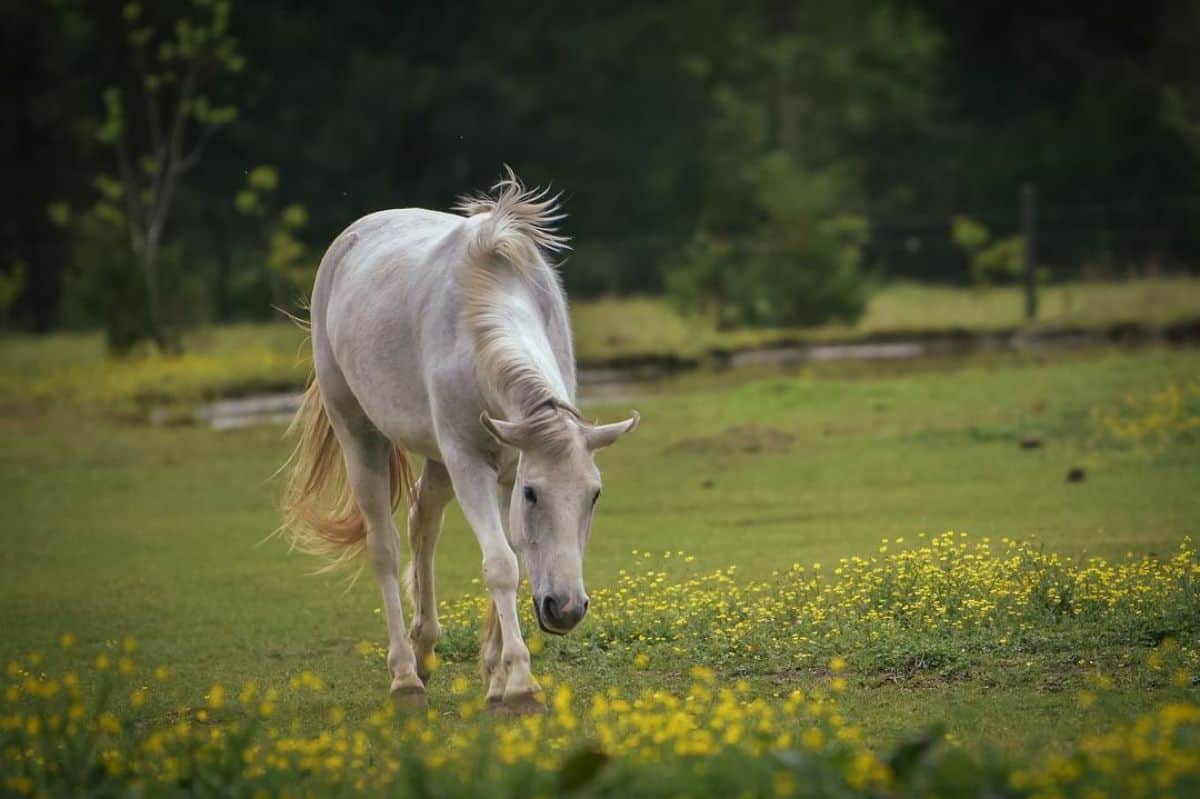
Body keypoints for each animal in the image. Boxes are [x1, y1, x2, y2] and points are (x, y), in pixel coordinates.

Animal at [282, 167, 643, 710]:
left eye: (594, 495)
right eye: (534, 494)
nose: (565, 609)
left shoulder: (506, 463)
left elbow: (513, 555)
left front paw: (496, 679)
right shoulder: (469, 461)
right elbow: (501, 564)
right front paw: (520, 685)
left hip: (437, 462)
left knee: (422, 522)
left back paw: (425, 649)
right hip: (361, 437)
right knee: (384, 547)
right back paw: (405, 675)